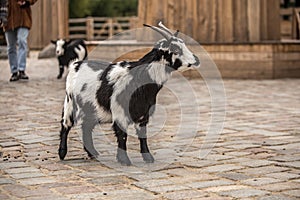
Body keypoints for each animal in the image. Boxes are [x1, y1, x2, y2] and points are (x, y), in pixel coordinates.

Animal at [57, 21, 200, 166]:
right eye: (176, 50)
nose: (196, 60)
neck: (139, 77)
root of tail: (75, 64)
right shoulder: (120, 113)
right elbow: (122, 136)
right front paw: (124, 160)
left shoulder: (143, 113)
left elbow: (143, 135)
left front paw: (148, 158)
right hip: (70, 103)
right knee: (65, 125)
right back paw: (62, 153)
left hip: (92, 108)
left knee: (86, 127)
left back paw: (93, 153)